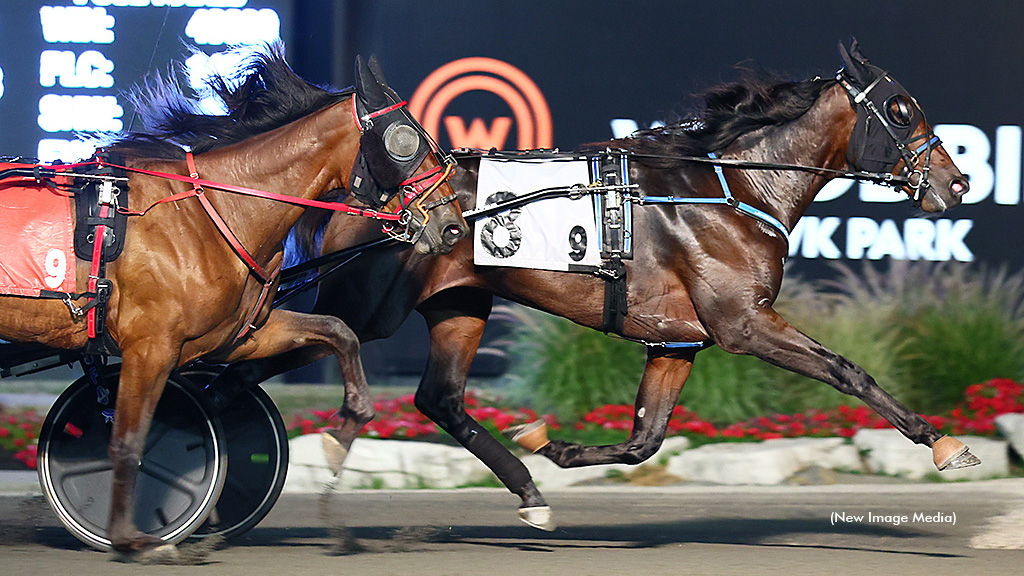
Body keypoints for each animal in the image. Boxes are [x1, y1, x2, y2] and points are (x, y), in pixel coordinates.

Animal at [0, 42, 464, 553]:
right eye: (406, 140)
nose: (452, 226)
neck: (211, 211)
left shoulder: (234, 335)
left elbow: (338, 331)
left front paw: (341, 435)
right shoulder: (151, 346)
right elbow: (127, 439)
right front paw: (134, 539)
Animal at [234, 38, 974, 528]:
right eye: (901, 109)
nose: (958, 180)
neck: (732, 189)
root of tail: (367, 190)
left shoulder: (677, 341)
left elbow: (646, 437)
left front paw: (550, 442)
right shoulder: (744, 323)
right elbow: (849, 371)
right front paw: (944, 443)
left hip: (460, 302)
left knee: (438, 397)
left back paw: (529, 492)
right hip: (367, 307)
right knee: (251, 358)